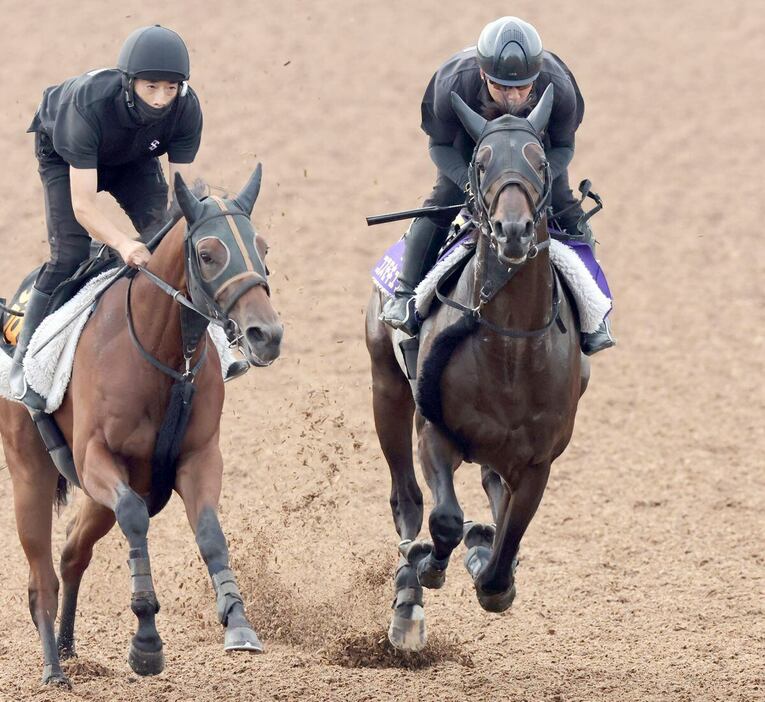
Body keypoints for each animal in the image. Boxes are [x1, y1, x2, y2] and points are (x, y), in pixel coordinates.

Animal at [0, 166, 284, 688]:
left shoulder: (199, 456)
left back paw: (68, 648)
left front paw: (238, 623)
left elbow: (210, 532)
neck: (161, 352)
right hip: (30, 472)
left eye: (263, 247)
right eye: (208, 254)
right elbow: (135, 517)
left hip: (96, 500)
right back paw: (53, 669)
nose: (266, 335)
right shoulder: (97, 458)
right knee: (41, 575)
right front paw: (146, 639)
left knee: (72, 552)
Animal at [368, 88, 588, 656]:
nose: (512, 230)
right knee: (407, 500)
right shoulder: (434, 430)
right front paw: (432, 562)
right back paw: (408, 605)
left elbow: (506, 544)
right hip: (386, 387)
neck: (509, 347)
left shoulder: (537, 462)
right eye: (482, 162)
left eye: (539, 162)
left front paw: (489, 563)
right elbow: (443, 519)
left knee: (490, 487)